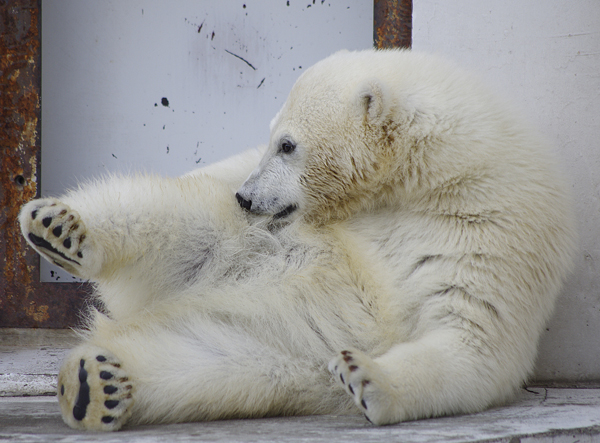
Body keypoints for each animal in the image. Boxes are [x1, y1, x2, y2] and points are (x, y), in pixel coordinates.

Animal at [19, 49, 576, 434]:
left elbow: (472, 340)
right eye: (271, 138)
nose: (246, 196)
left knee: (203, 360)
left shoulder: (487, 229)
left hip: (264, 346)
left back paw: (98, 383)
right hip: (234, 242)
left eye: (288, 144)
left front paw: (363, 374)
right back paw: (58, 228)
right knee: (172, 218)